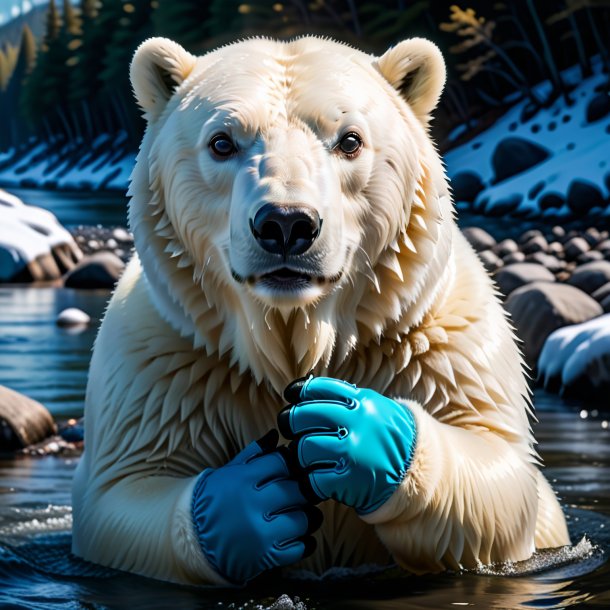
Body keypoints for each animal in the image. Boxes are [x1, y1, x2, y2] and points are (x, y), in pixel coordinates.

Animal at [72, 34, 568, 584]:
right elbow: (123, 493)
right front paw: (245, 503)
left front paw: (359, 432)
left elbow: (502, 476)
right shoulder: (166, 359)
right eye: (222, 141)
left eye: (350, 139)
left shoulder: (440, 338)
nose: (286, 224)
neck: (294, 333)